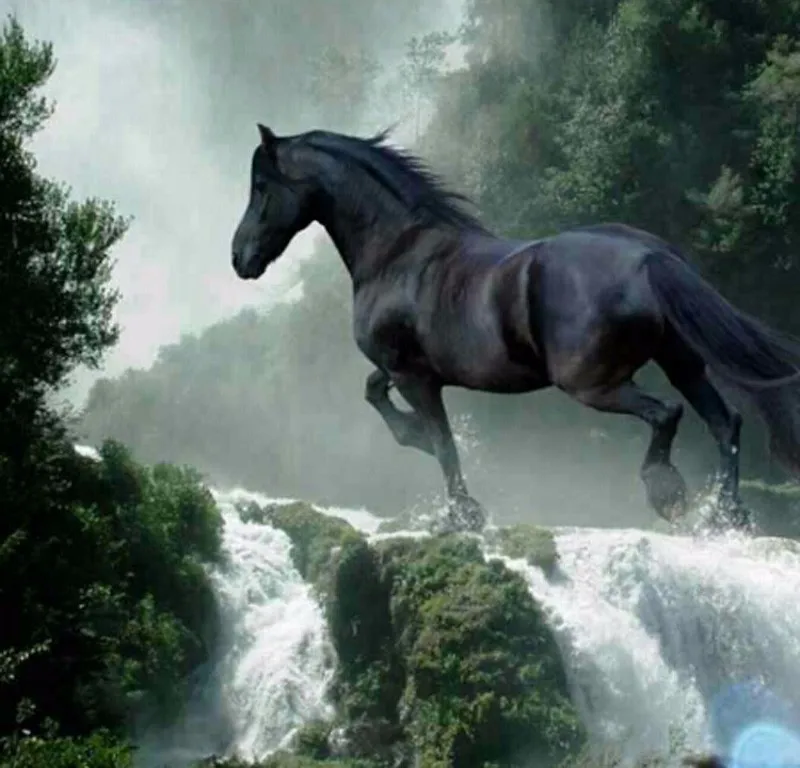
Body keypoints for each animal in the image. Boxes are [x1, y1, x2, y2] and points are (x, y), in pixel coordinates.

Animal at [231, 123, 800, 534]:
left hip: (592, 383)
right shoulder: (404, 370)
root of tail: (648, 257)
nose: (239, 259)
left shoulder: (415, 377)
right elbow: (378, 396)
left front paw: (463, 514)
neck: (398, 253)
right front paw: (415, 440)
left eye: (261, 187)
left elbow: (443, 443)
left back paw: (668, 494)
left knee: (668, 414)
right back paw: (727, 518)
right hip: (680, 361)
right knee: (725, 423)